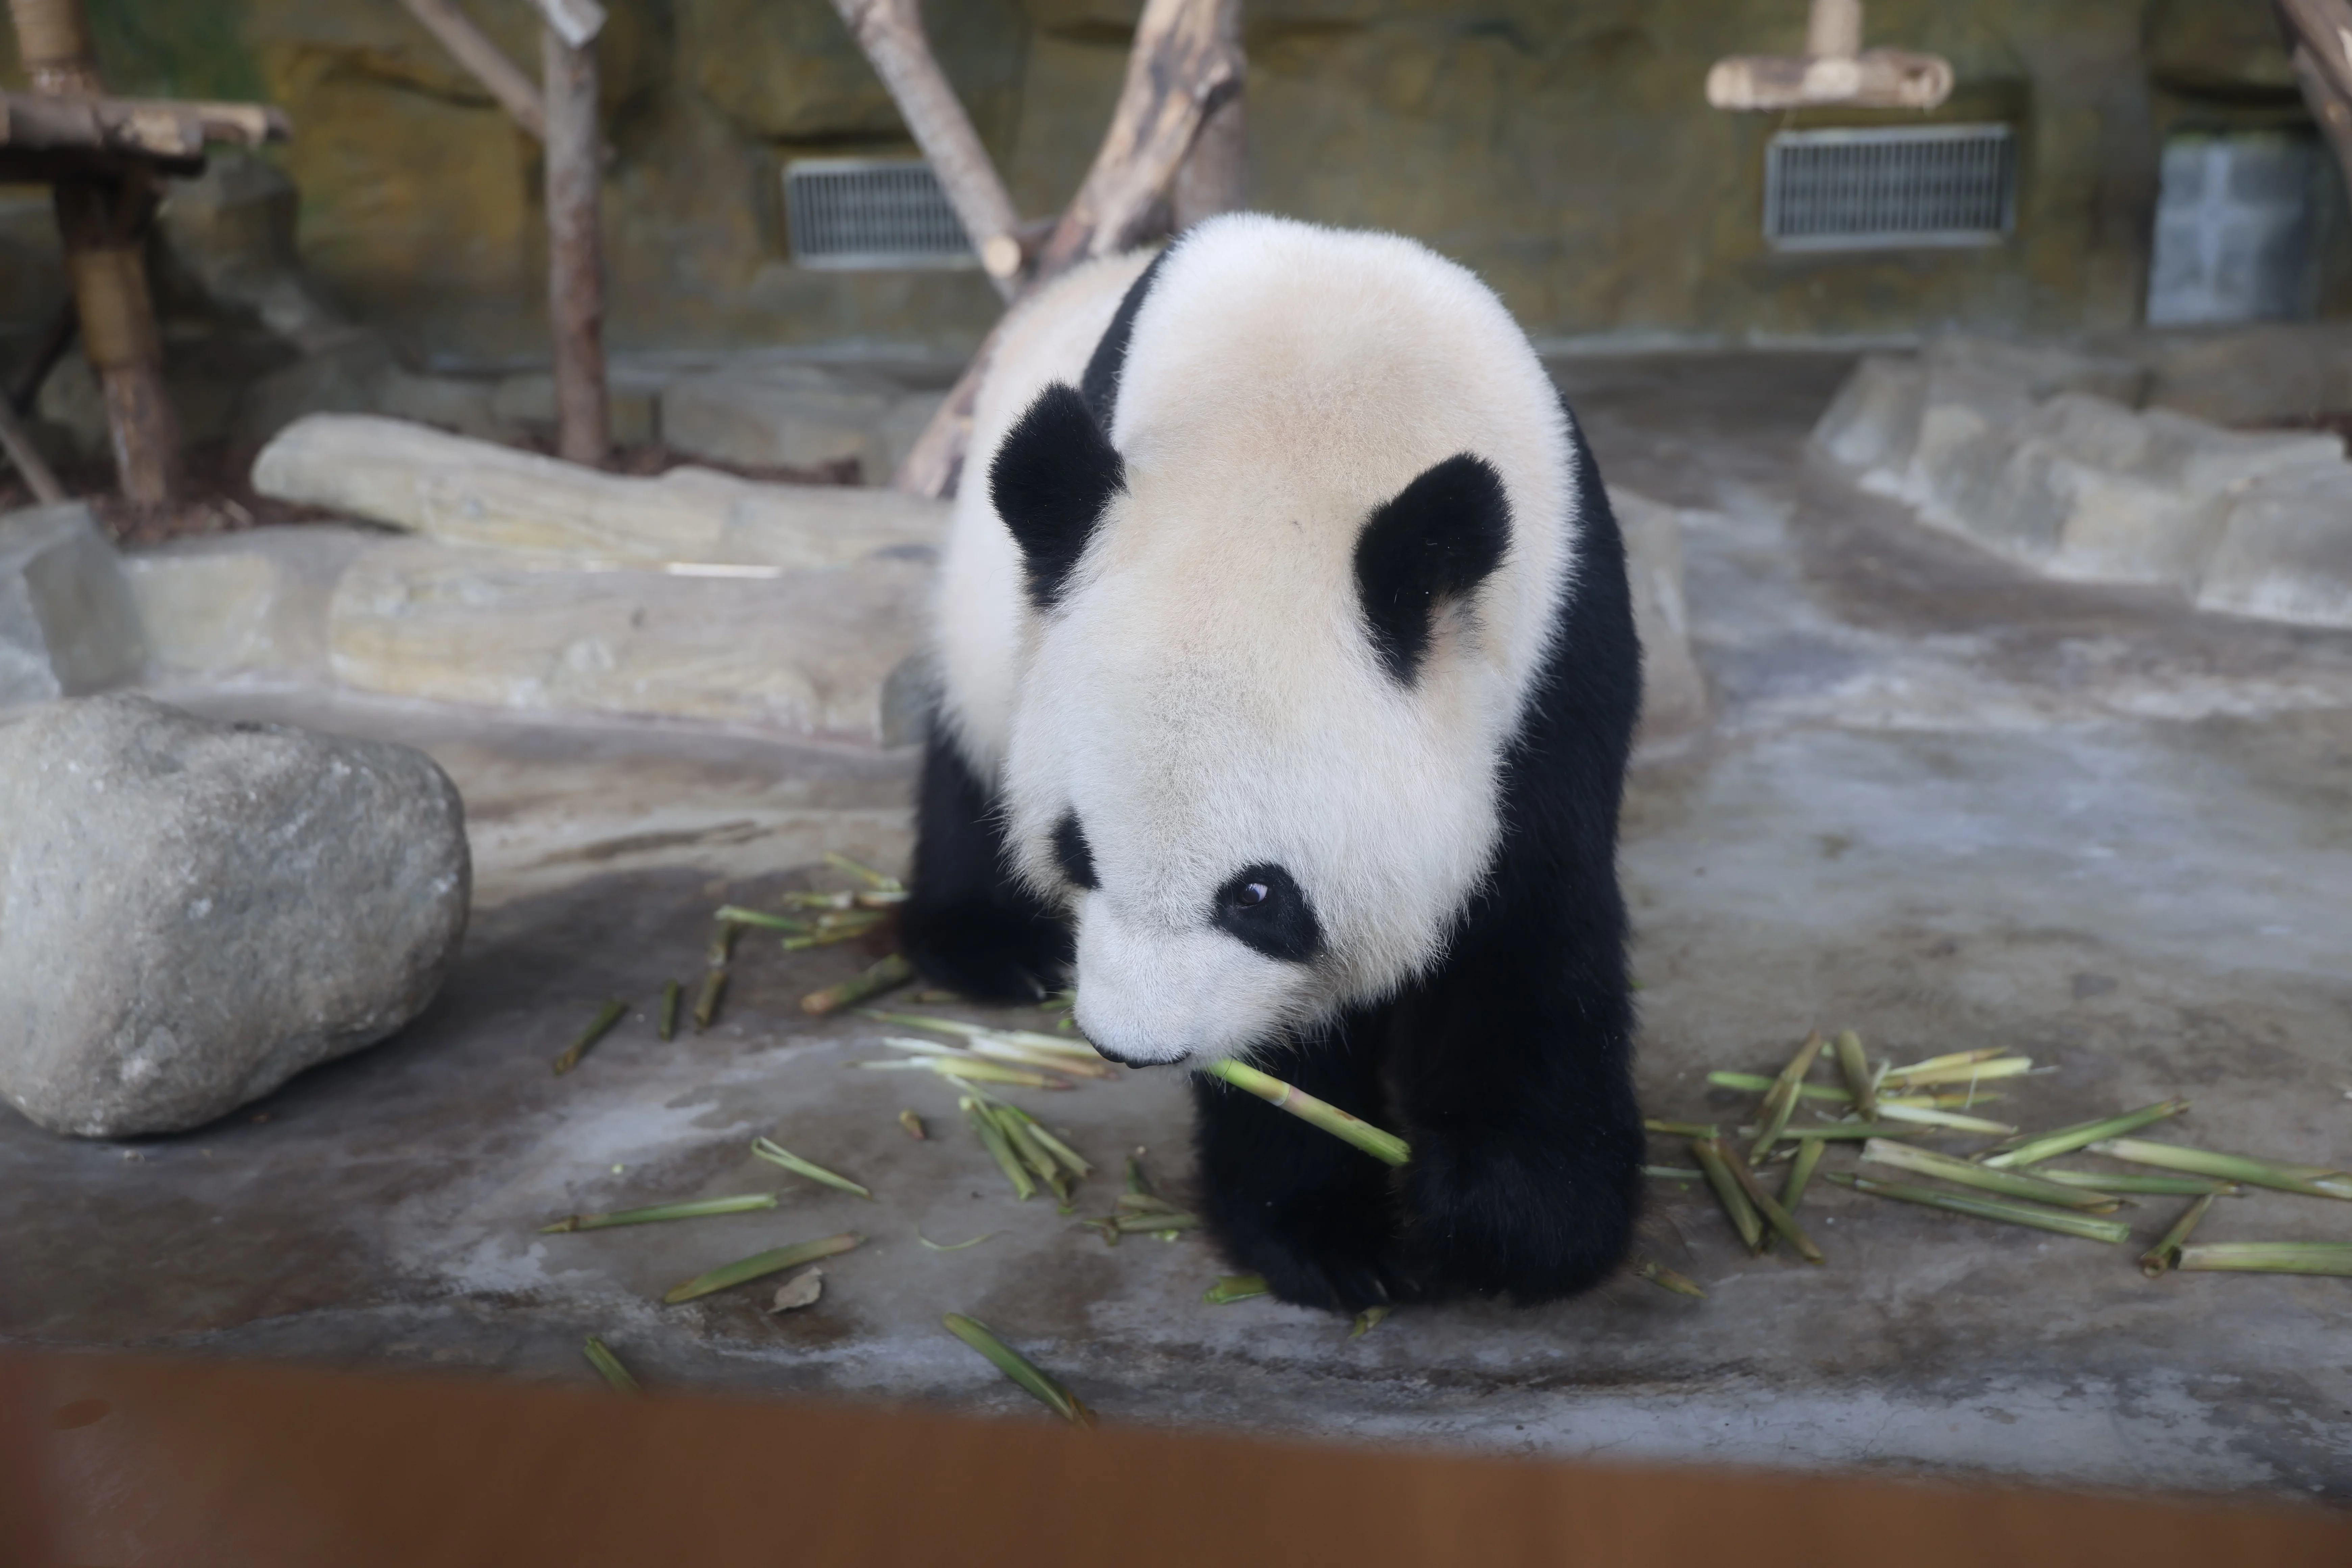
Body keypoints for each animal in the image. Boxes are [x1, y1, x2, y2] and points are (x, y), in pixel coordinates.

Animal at [904, 213, 1643, 1313]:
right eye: (1079, 853)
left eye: (1257, 895)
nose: (1131, 1046)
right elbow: (1291, 1034)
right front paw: (1327, 1231)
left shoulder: (1556, 641)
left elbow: (1532, 926)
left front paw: (1503, 1218)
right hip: (997, 590)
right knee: (974, 724)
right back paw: (990, 943)